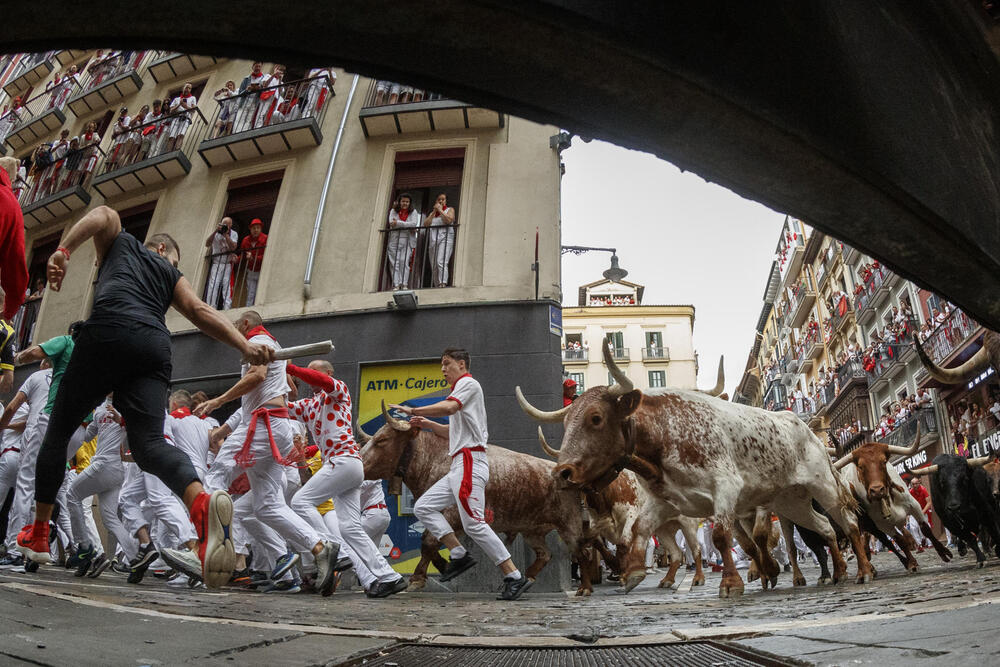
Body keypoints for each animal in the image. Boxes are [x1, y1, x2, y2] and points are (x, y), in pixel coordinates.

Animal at [516, 348, 876, 596]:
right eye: (566, 422)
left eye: (595, 418)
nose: (563, 472)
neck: (665, 435)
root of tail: (806, 428)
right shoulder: (664, 501)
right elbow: (640, 531)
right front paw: (633, 572)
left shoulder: (726, 490)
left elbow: (720, 537)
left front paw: (732, 582)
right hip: (790, 501)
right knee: (825, 529)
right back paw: (838, 572)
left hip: (822, 487)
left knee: (847, 523)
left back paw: (863, 570)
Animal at [828, 426, 952, 572]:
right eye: (860, 466)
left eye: (883, 461)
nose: (877, 490)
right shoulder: (882, 524)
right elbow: (899, 541)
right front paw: (911, 562)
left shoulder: (914, 505)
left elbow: (925, 529)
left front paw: (944, 553)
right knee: (878, 538)